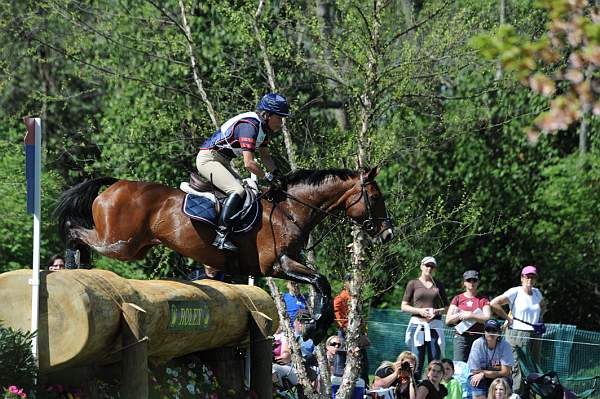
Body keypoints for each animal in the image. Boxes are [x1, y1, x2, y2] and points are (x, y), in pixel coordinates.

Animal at [55, 167, 394, 342]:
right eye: (375, 196)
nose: (387, 233)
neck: (289, 210)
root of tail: (116, 185)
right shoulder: (278, 264)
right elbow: (321, 281)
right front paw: (315, 326)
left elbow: (319, 283)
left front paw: (314, 324)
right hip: (119, 243)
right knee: (74, 230)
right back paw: (74, 265)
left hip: (130, 245)